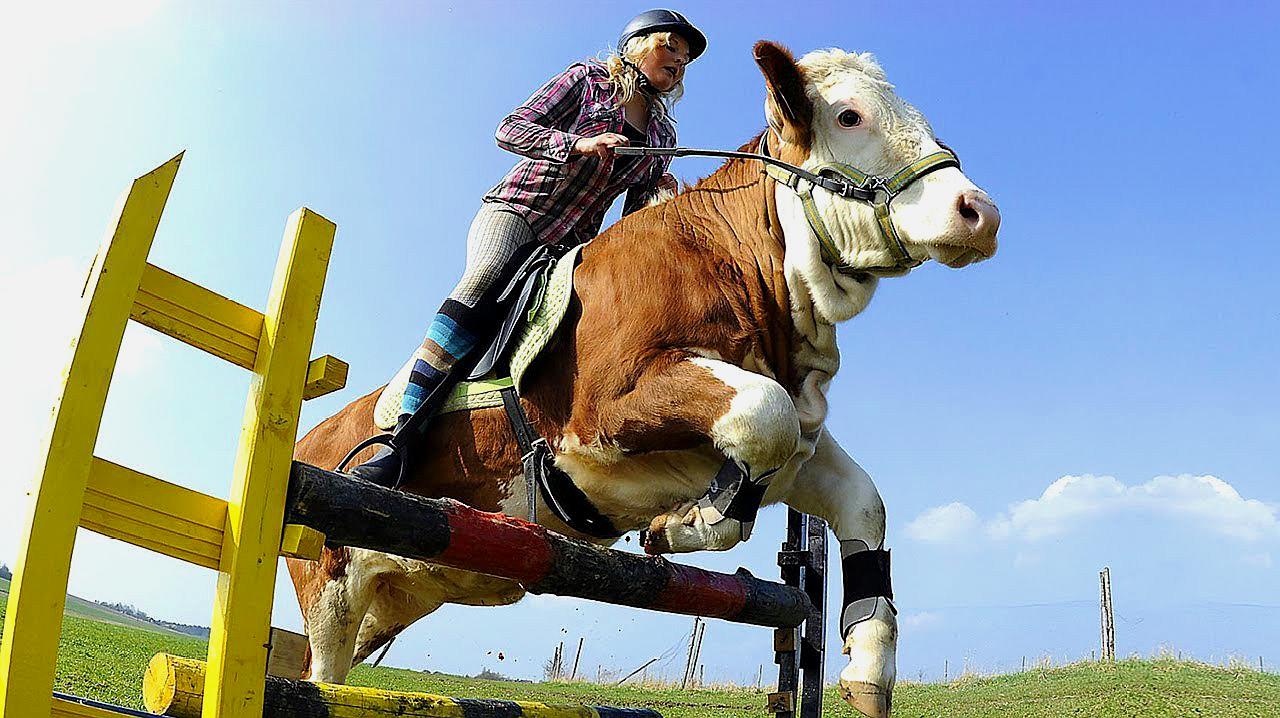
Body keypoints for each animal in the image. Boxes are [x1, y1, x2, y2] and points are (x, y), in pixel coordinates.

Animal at [288, 40, 998, 716]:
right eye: (850, 116)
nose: (981, 214)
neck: (738, 269)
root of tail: (305, 437)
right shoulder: (606, 407)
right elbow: (762, 413)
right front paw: (684, 523)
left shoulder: (796, 449)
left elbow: (859, 501)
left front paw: (867, 671)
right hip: (330, 584)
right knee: (320, 672)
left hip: (396, 595)